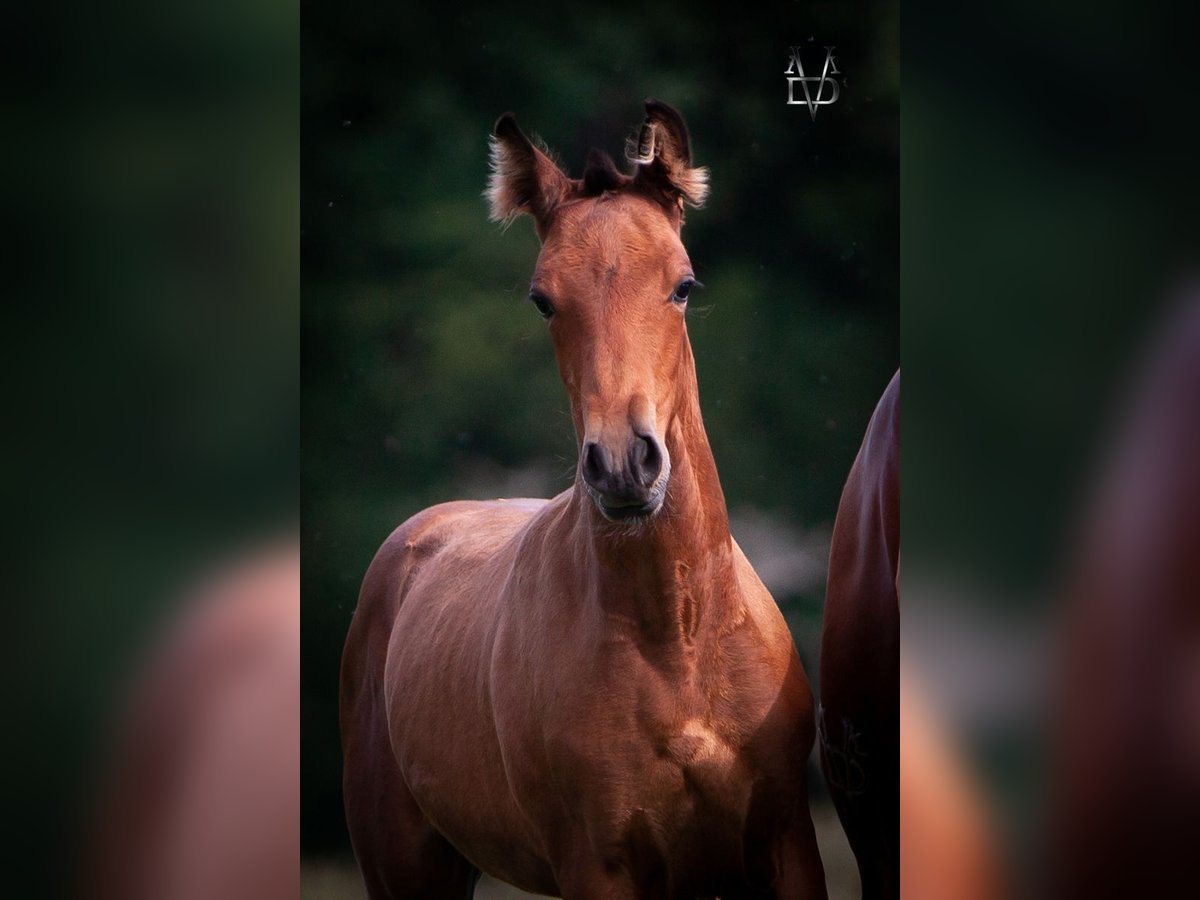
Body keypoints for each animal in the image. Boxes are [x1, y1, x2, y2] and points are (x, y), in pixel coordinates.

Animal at [338, 102, 825, 897]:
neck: (678, 641)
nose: (625, 465)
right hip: (406, 866)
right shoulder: (597, 865)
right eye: (543, 300)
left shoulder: (785, 842)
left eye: (684, 284)